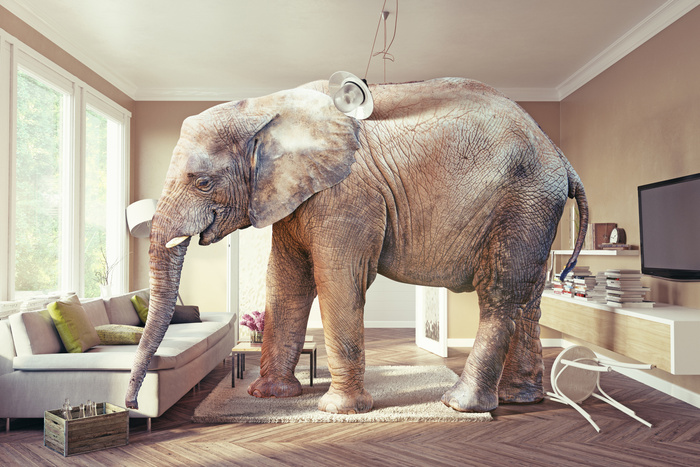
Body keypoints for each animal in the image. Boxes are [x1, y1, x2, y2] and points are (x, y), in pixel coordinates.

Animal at [125, 77, 588, 415]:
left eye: (203, 182)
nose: (129, 405)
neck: (266, 106)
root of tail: (561, 157)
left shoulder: (347, 196)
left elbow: (338, 279)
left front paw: (339, 411)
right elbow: (286, 281)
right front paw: (270, 396)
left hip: (523, 200)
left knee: (500, 292)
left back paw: (460, 405)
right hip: (534, 208)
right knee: (528, 298)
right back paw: (519, 399)